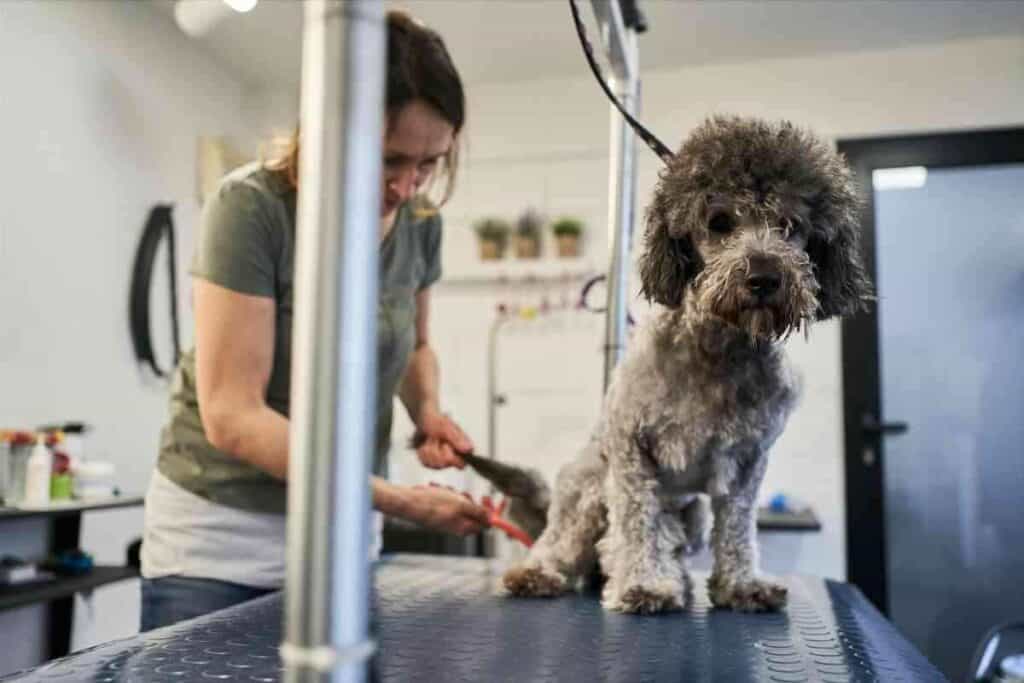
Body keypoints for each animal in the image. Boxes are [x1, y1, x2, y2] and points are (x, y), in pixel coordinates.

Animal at [479, 116, 872, 614]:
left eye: (791, 225)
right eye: (719, 222)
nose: (764, 277)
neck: (718, 354)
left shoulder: (748, 462)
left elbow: (737, 528)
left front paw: (740, 585)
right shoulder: (632, 450)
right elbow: (637, 523)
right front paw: (643, 584)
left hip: (694, 513)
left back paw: (677, 578)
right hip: (586, 490)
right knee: (567, 543)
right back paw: (541, 573)